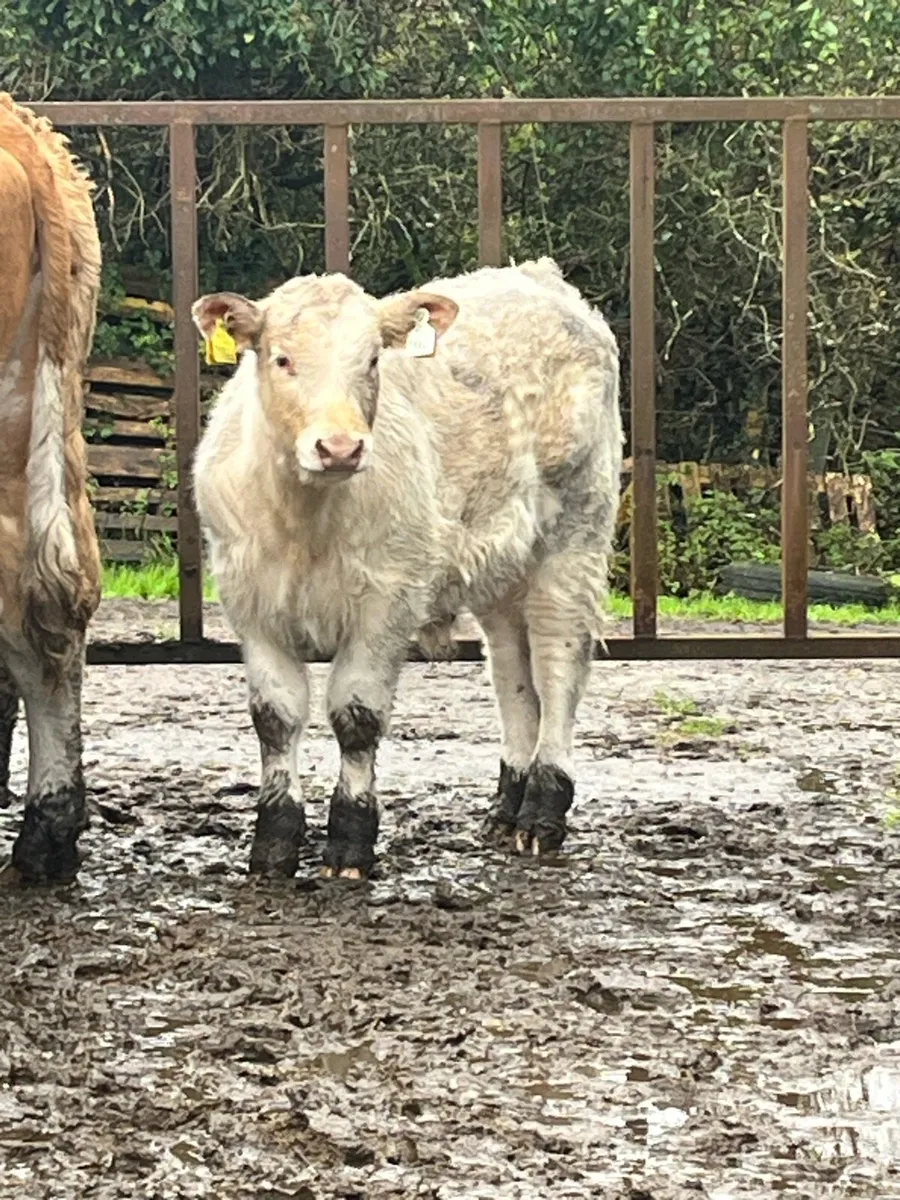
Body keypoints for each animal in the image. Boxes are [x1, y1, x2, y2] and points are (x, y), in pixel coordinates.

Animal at [192, 258, 622, 879]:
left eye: (373, 360)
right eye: (281, 358)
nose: (340, 447)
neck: (308, 519)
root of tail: (540, 277)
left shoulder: (386, 602)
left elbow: (356, 715)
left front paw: (350, 843)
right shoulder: (251, 602)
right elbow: (275, 716)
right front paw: (273, 846)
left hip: (575, 533)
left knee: (557, 666)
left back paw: (541, 813)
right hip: (501, 568)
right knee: (512, 673)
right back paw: (506, 808)